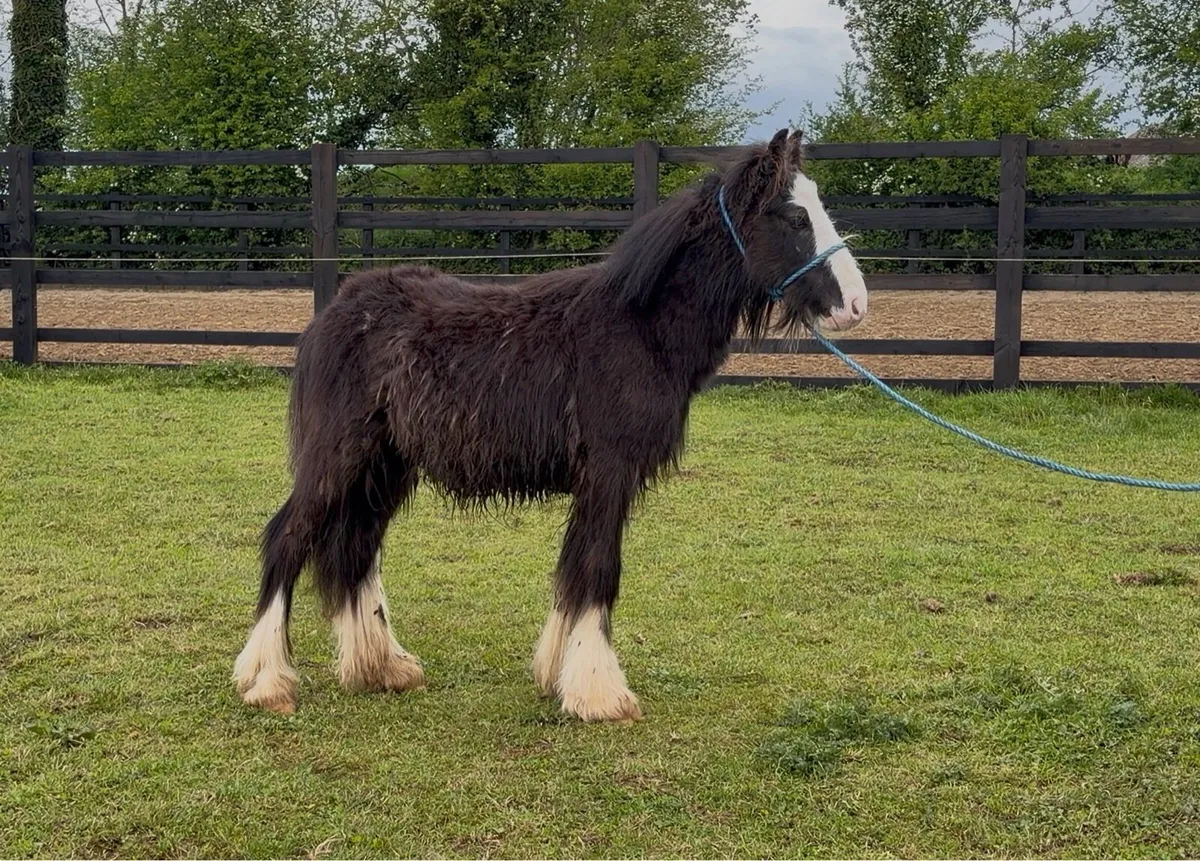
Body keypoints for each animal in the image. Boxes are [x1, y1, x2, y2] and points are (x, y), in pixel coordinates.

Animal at [232, 128, 868, 722]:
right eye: (794, 216)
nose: (857, 304)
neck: (638, 327)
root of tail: (336, 310)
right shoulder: (609, 472)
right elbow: (599, 569)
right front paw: (600, 693)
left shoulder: (599, 481)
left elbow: (574, 570)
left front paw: (561, 674)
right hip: (339, 456)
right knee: (288, 538)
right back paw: (267, 680)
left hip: (386, 466)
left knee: (356, 550)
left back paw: (381, 666)